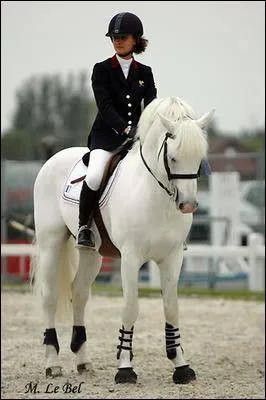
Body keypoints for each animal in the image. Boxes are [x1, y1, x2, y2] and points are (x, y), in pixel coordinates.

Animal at [31, 96, 214, 384]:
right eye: (173, 158)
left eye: (198, 159)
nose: (188, 205)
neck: (154, 195)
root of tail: (54, 158)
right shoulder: (130, 258)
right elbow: (130, 307)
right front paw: (125, 368)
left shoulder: (172, 257)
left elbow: (171, 307)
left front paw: (181, 366)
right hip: (51, 242)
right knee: (49, 296)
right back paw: (52, 363)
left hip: (92, 253)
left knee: (79, 293)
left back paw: (83, 361)